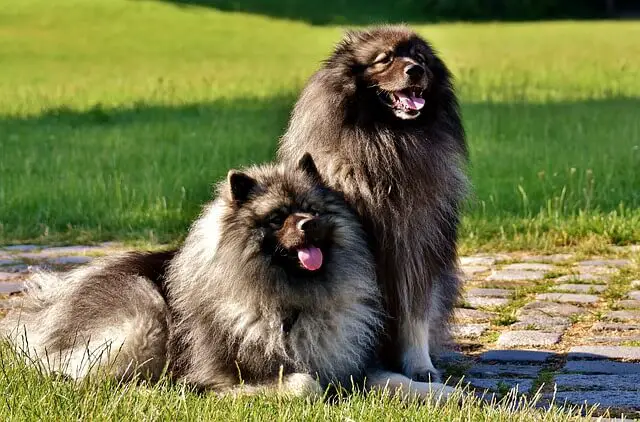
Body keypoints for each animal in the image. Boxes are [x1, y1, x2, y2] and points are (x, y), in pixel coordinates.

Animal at [2, 155, 382, 396]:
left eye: (312, 210)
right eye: (276, 219)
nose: (308, 225)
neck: (291, 302)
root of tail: (54, 301)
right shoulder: (231, 370)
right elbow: (305, 385)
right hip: (144, 313)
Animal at [278, 24, 468, 384]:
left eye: (420, 58)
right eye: (385, 59)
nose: (415, 70)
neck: (387, 142)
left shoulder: (415, 254)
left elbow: (415, 318)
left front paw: (420, 368)